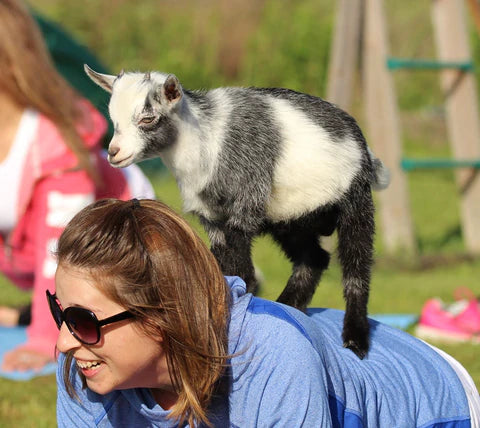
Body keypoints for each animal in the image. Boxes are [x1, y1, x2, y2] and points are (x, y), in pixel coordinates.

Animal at [85, 63, 390, 358]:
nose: (114, 153)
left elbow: (244, 273)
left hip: (356, 203)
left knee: (356, 268)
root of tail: (365, 149)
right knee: (314, 258)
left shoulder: (243, 208)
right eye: (113, 118)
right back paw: (287, 306)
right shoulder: (212, 219)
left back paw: (355, 340)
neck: (206, 140)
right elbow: (222, 267)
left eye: (148, 118)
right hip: (292, 219)